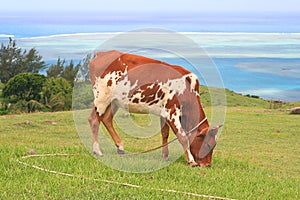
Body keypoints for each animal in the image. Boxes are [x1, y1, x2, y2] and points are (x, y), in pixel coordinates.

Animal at [87, 50, 220, 167]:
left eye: (214, 145)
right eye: (208, 145)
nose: (207, 165)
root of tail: (102, 53)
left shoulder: (164, 113)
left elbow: (165, 133)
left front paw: (165, 156)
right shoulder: (172, 111)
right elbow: (182, 136)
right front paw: (191, 161)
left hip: (113, 101)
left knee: (107, 119)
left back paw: (120, 147)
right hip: (101, 98)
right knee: (94, 119)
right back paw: (97, 151)